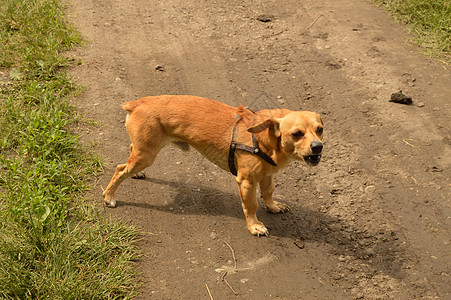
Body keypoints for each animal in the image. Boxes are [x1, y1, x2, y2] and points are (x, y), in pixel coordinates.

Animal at [103, 95, 324, 236]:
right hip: (146, 156)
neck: (263, 138)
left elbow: (268, 192)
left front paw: (273, 206)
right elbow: (251, 205)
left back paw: (135, 175)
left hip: (143, 151)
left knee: (130, 152)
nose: (318, 147)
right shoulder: (247, 182)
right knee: (120, 169)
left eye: (320, 129)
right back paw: (109, 196)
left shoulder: (268, 175)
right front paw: (254, 226)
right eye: (297, 134)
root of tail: (137, 103)